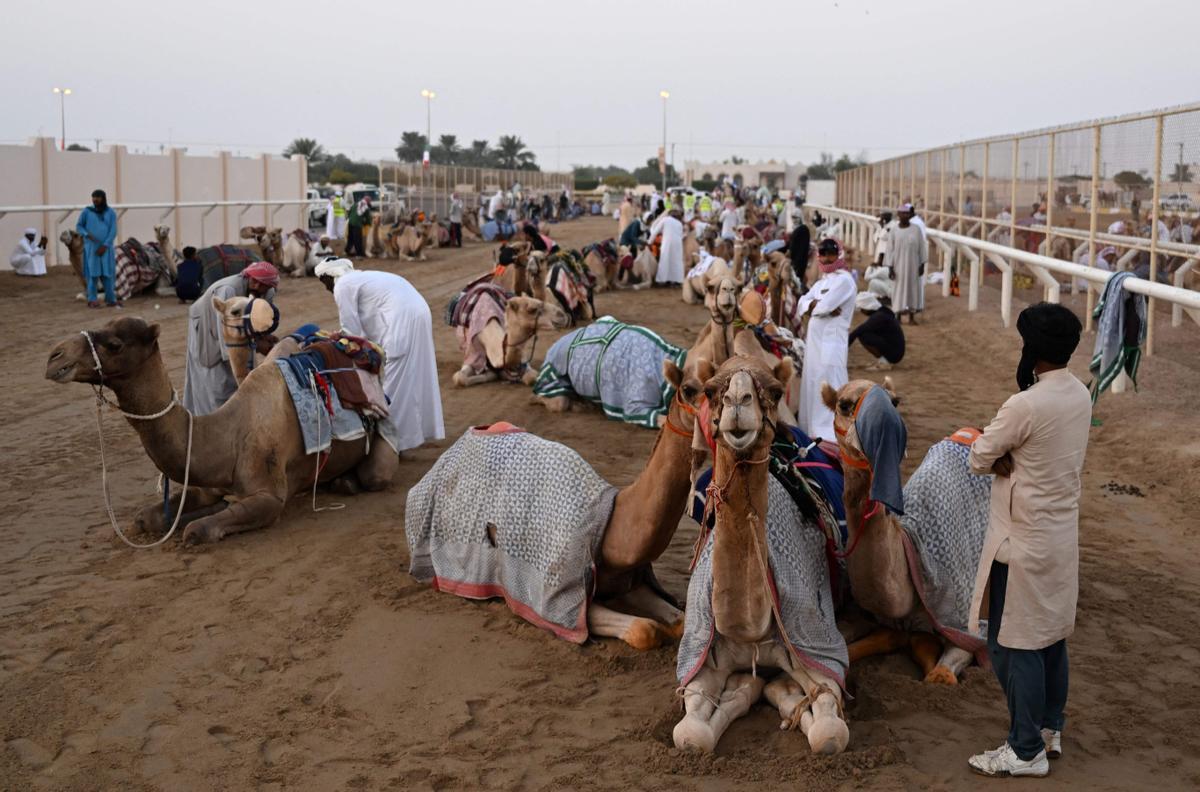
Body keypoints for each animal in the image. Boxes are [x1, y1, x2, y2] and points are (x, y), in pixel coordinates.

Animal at [46, 314, 393, 544]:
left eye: (115, 343)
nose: (55, 356)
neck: (228, 436)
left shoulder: (269, 497)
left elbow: (196, 530)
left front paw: (194, 524)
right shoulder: (207, 483)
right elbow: (147, 517)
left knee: (375, 474)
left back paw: (347, 482)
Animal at [672, 357, 849, 753]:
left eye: (775, 390)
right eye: (710, 389)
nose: (738, 400)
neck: (751, 630)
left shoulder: (818, 648)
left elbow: (829, 732)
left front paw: (781, 691)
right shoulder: (703, 660)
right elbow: (690, 734)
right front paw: (745, 687)